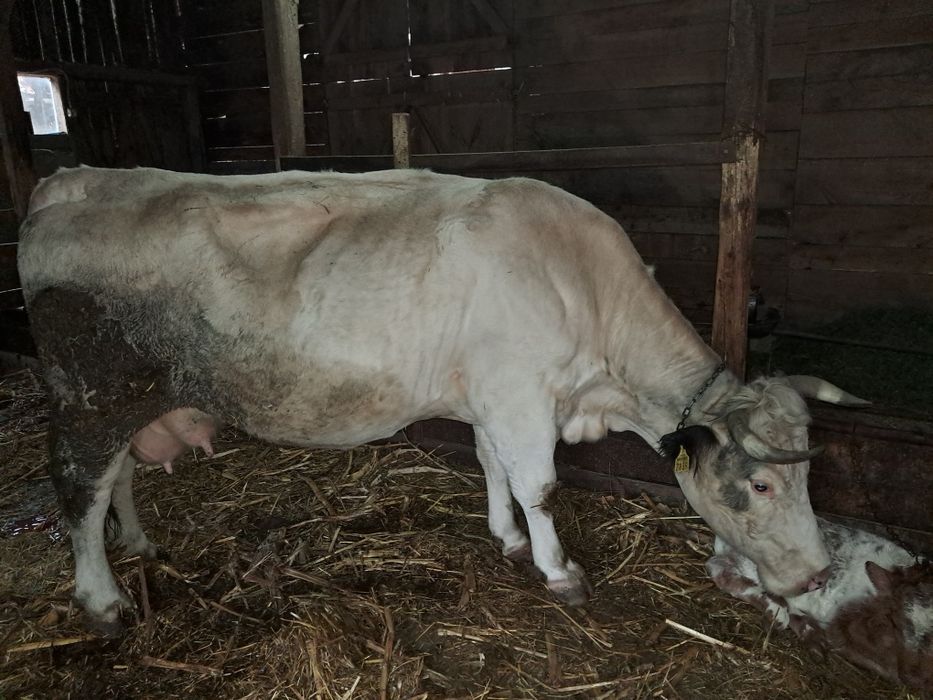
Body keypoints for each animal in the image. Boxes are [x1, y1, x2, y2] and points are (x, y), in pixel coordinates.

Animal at [18, 166, 867, 635]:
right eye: (762, 483)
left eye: (808, 477)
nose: (816, 576)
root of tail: (68, 181)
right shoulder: (521, 394)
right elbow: (540, 484)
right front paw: (558, 569)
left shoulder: (493, 395)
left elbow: (493, 467)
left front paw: (507, 537)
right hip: (89, 393)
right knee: (78, 487)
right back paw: (102, 599)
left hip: (131, 400)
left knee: (117, 478)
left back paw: (137, 543)